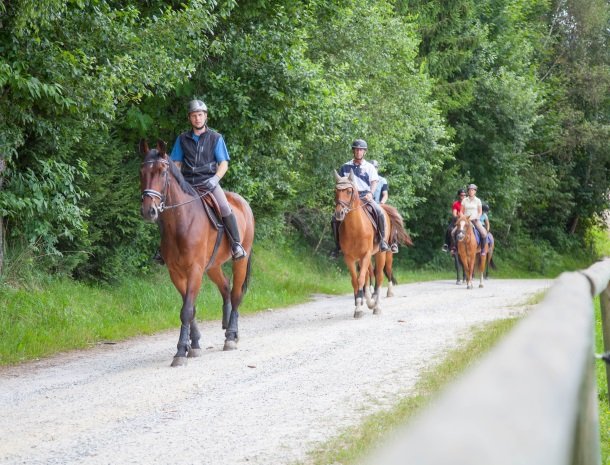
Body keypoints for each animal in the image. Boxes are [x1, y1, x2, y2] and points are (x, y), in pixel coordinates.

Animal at [139, 140, 253, 364]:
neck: (181, 222)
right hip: (213, 266)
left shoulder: (194, 270)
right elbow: (189, 308)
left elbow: (187, 310)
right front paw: (195, 344)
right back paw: (228, 327)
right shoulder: (176, 273)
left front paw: (180, 352)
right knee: (225, 287)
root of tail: (242, 202)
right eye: (142, 172)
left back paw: (231, 337)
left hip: (240, 261)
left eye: (162, 172)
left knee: (236, 294)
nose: (149, 211)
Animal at [334, 169, 410, 318]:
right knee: (371, 275)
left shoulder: (365, 255)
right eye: (336, 191)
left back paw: (377, 305)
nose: (339, 213)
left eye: (349, 191)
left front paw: (362, 307)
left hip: (382, 254)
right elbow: (356, 281)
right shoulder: (350, 258)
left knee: (380, 276)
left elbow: (362, 279)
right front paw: (360, 304)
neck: (355, 228)